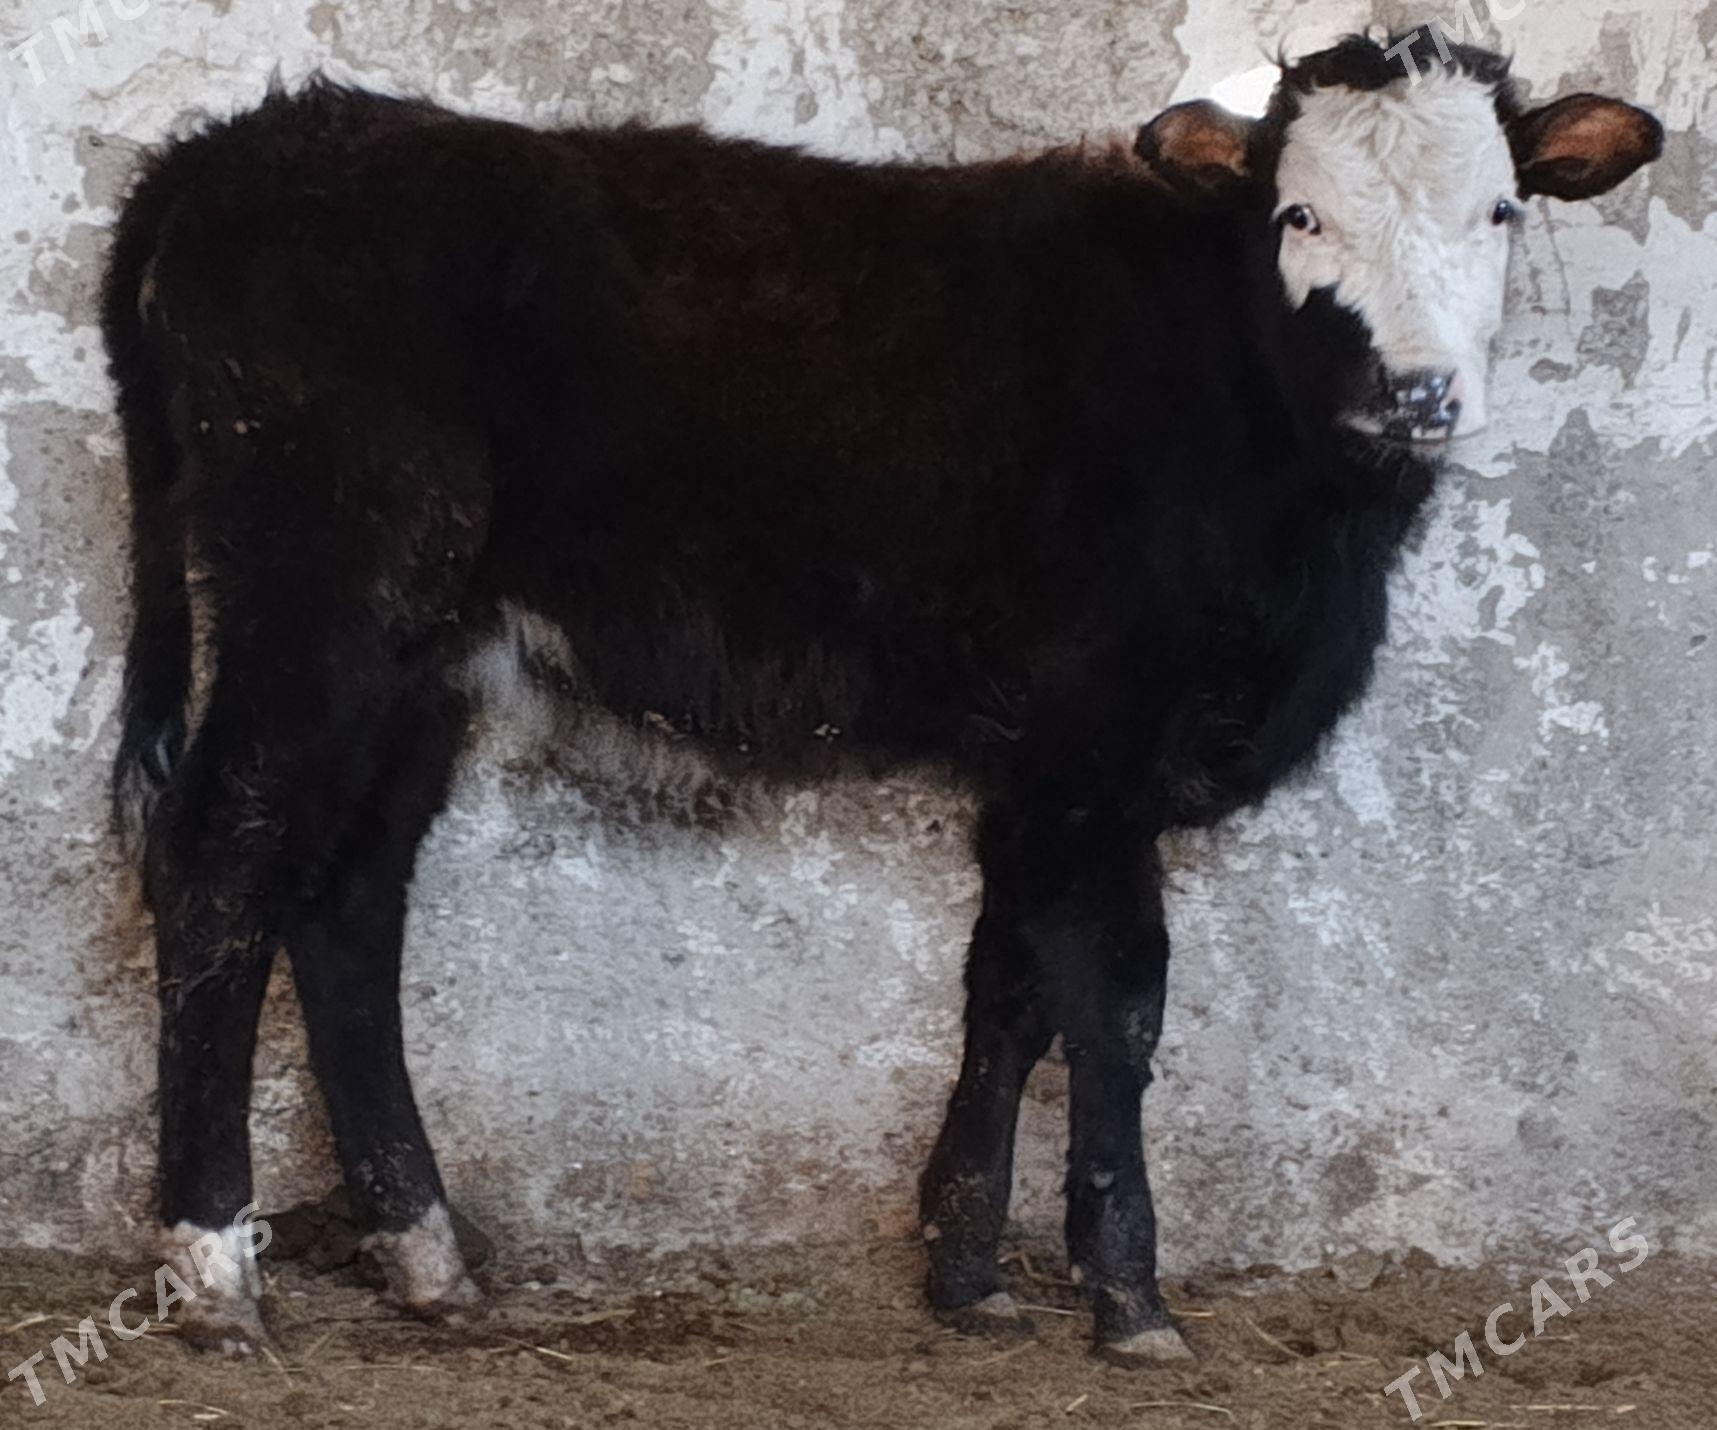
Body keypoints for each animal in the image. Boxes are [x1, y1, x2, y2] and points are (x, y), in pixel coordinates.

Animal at [100, 31, 1661, 1362]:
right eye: (1300, 217)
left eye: (1501, 211)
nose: (1420, 392)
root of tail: (261, 140)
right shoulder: (1097, 740)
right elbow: (1117, 1003)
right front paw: (1128, 1293)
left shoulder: (1042, 765)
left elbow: (1009, 986)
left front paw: (966, 1267)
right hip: (320, 600)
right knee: (221, 861)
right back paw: (213, 1265)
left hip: (417, 652)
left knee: (347, 897)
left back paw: (425, 1251)